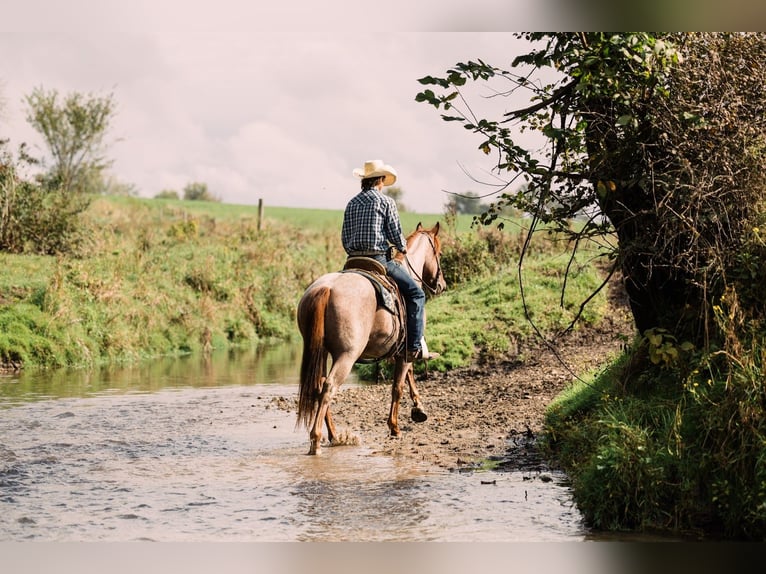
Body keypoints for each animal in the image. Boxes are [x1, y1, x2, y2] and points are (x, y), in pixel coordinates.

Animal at [295, 222, 447, 455]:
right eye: (438, 253)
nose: (441, 285)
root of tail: (326, 288)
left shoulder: (401, 350)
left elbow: (409, 376)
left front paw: (418, 409)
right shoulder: (407, 349)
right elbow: (398, 387)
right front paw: (395, 427)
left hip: (320, 351)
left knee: (318, 386)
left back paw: (334, 435)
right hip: (346, 356)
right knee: (328, 387)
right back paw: (316, 440)